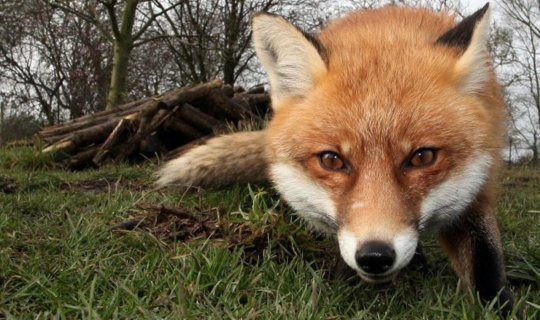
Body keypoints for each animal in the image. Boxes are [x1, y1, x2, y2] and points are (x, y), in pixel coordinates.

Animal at [157, 3, 516, 314]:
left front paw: (497, 308)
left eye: (422, 157)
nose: (374, 256)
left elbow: (486, 266)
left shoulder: (478, 192)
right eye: (331, 160)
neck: (385, 32)